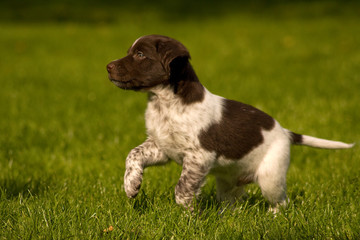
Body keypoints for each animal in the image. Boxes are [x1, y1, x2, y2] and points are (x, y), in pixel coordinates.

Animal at [107, 34, 354, 212]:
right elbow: (133, 154)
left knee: (282, 203)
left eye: (140, 54)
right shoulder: (162, 147)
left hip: (270, 177)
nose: (107, 66)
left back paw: (273, 217)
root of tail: (285, 132)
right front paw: (131, 185)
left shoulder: (199, 156)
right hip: (228, 182)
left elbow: (183, 188)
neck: (165, 103)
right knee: (233, 203)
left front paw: (190, 215)